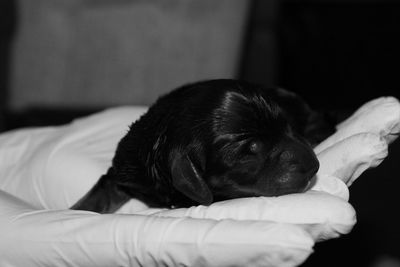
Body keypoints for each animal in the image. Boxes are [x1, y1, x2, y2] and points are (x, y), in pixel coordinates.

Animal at [72, 79, 334, 214]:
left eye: (287, 126)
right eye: (253, 148)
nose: (314, 166)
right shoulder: (127, 168)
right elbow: (101, 192)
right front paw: (75, 211)